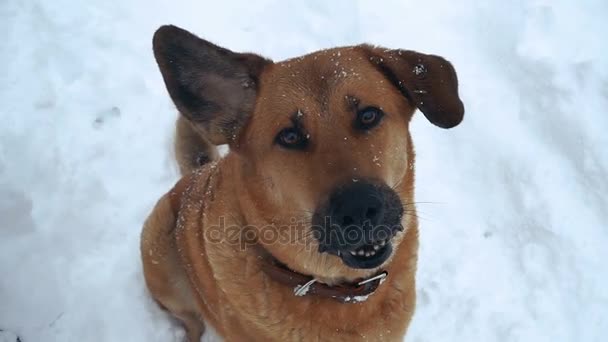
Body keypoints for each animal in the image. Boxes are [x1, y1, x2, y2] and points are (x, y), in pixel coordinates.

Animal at [142, 24, 464, 342]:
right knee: (190, 321)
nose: (359, 208)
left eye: (369, 115)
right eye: (290, 136)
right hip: (160, 245)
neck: (341, 290)